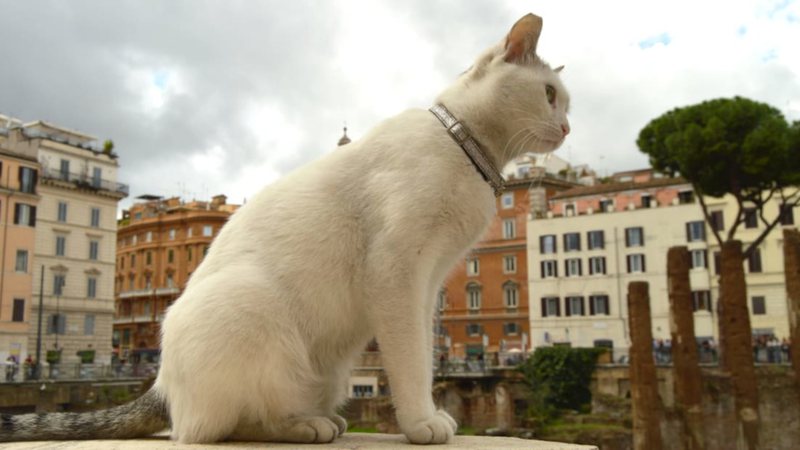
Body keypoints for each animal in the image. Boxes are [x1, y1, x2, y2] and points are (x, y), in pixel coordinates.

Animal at [1, 12, 568, 444]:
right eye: (549, 93)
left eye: (565, 101)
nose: (566, 126)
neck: (467, 148)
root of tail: (160, 384)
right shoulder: (397, 274)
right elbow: (409, 361)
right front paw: (421, 422)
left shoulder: (428, 284)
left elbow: (425, 354)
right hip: (252, 310)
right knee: (216, 426)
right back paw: (306, 426)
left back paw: (322, 419)